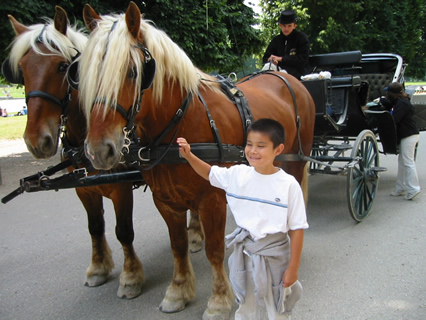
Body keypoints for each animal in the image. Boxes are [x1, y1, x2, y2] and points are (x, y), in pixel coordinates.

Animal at [3, 6, 146, 298]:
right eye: (21, 70)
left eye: (62, 67)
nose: (36, 140)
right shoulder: (83, 189)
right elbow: (95, 226)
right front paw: (98, 268)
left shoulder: (121, 188)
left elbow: (123, 230)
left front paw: (130, 277)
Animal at [76, 1, 316, 318]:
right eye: (84, 75)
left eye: (132, 72)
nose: (98, 151)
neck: (183, 120)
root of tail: (286, 77)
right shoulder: (166, 201)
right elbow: (177, 245)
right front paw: (178, 290)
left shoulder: (212, 198)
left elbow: (214, 250)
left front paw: (219, 301)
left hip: (297, 161)